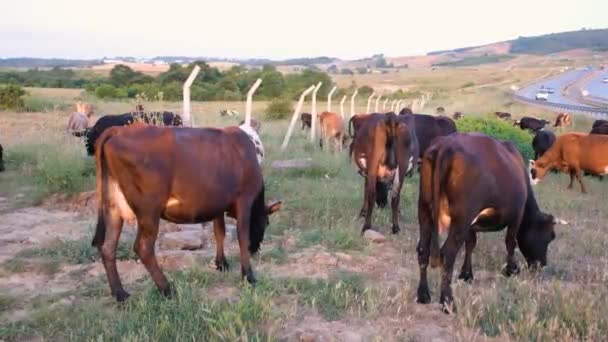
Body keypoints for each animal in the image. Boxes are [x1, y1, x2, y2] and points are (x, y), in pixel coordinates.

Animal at [91, 124, 282, 300]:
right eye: (266, 223)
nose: (255, 249)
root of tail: (118, 130)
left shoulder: (217, 205)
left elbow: (219, 232)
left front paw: (221, 264)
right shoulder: (244, 200)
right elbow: (242, 237)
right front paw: (248, 277)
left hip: (113, 207)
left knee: (108, 248)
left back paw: (120, 294)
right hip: (149, 210)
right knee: (143, 248)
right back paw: (167, 289)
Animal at [418, 132, 556, 312]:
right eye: (549, 237)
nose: (542, 265)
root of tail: (446, 145)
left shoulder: (471, 224)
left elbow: (470, 244)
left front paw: (466, 274)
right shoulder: (516, 215)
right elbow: (511, 242)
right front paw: (511, 269)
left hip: (425, 209)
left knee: (423, 250)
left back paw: (423, 295)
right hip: (461, 217)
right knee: (447, 254)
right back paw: (447, 301)